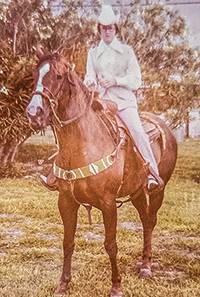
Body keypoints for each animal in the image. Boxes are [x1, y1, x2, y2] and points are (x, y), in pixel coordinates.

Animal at [26, 51, 177, 296]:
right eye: (34, 75)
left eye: (58, 76)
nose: (34, 112)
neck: (83, 145)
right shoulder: (66, 201)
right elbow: (68, 242)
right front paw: (63, 284)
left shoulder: (108, 203)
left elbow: (110, 244)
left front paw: (116, 286)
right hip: (136, 192)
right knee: (145, 220)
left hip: (157, 192)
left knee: (150, 221)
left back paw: (146, 266)